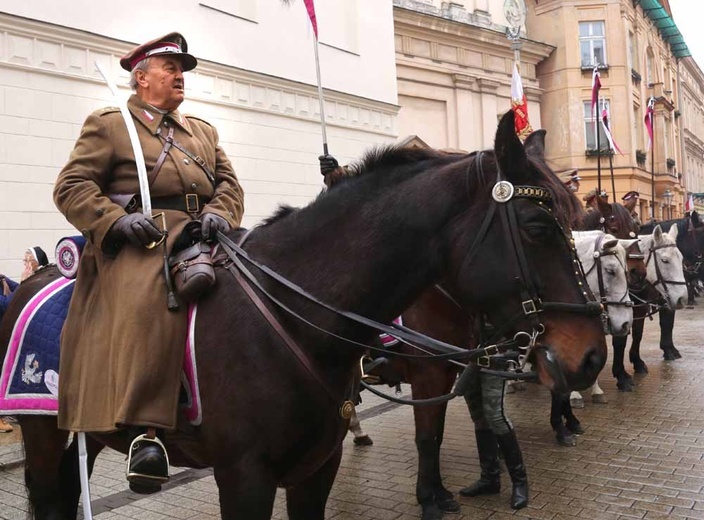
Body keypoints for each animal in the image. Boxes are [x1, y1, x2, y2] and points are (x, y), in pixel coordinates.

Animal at [0, 114, 604, 520]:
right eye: (537, 227)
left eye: (578, 221)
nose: (592, 355)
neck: (290, 318)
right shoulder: (244, 476)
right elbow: (427, 437)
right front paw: (433, 499)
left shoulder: (316, 467)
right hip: (44, 439)